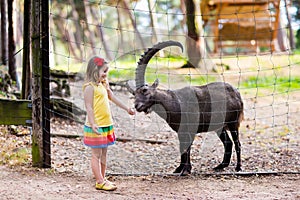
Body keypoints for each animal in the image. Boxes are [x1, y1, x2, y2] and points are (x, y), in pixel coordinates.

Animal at [134, 41, 244, 175]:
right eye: (134, 93)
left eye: (145, 90)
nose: (137, 106)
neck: (174, 102)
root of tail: (237, 94)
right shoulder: (181, 131)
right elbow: (182, 148)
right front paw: (179, 169)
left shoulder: (190, 129)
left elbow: (187, 148)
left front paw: (186, 170)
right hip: (220, 127)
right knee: (228, 143)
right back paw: (220, 166)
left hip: (233, 123)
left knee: (237, 143)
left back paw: (238, 167)